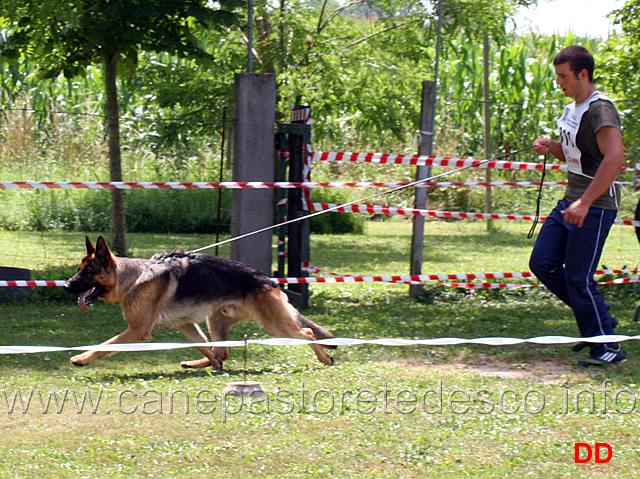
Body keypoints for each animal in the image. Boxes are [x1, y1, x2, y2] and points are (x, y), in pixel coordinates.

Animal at [63, 238, 338, 370]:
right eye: (78, 270)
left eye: (87, 272)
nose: (66, 285)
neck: (132, 278)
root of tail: (268, 280)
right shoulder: (185, 325)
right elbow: (203, 346)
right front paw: (212, 364)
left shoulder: (137, 330)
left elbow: (106, 345)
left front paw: (82, 358)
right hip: (214, 320)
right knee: (221, 350)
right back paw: (202, 364)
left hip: (273, 323)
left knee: (307, 332)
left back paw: (325, 359)